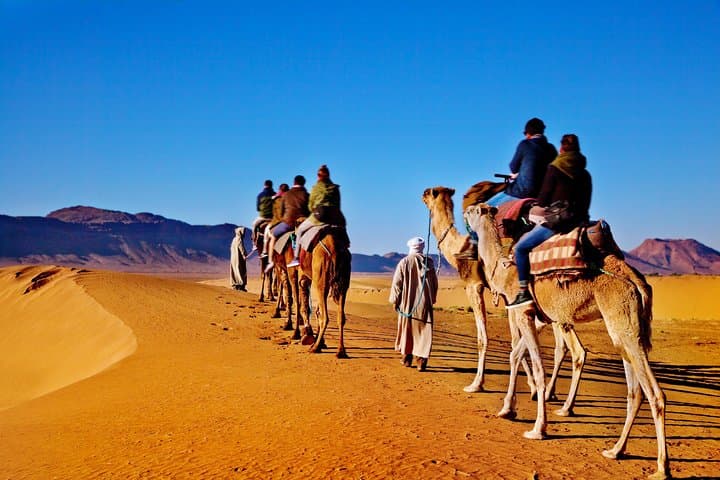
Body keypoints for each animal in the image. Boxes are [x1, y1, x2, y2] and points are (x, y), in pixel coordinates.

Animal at [297, 227, 352, 358]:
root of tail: (334, 249)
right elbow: (317, 310)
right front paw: (319, 341)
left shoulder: (302, 276)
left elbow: (304, 307)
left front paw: (308, 335)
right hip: (343, 282)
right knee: (340, 317)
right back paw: (340, 351)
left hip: (321, 278)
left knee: (325, 317)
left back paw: (315, 348)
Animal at [421, 187, 573, 402]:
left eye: (428, 193)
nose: (422, 195)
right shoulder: (506, 298)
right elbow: (515, 340)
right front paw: (532, 387)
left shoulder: (474, 286)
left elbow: (484, 338)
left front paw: (477, 384)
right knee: (563, 345)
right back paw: (553, 394)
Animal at [464, 201, 668, 480]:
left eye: (474, 211)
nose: (465, 211)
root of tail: (637, 280)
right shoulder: (540, 315)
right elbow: (515, 354)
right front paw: (507, 409)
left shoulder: (523, 310)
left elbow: (536, 366)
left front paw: (537, 429)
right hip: (623, 330)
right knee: (634, 391)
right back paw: (616, 450)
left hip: (623, 321)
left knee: (654, 393)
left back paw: (661, 468)